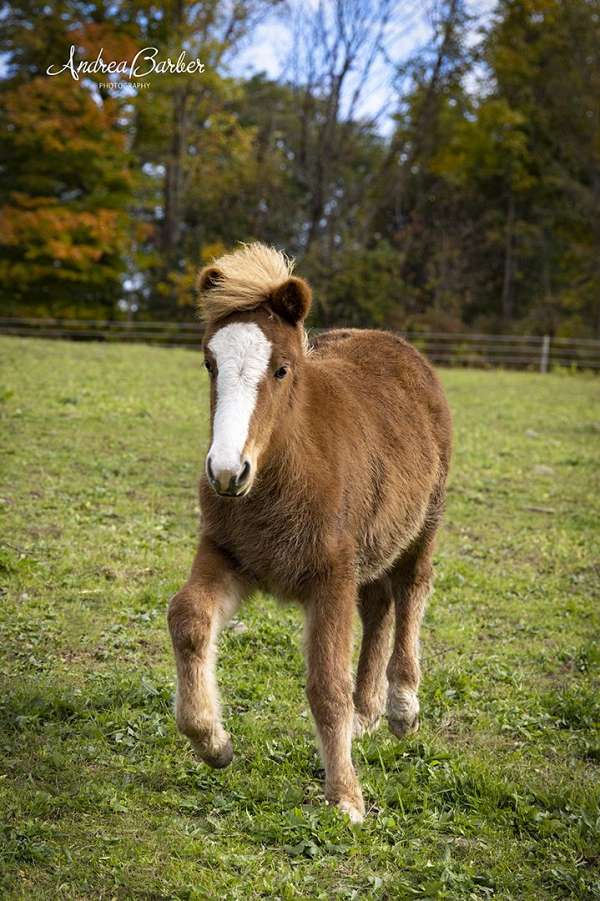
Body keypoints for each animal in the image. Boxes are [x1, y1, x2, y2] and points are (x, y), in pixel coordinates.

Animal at [166, 241, 452, 824]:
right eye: (209, 363)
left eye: (281, 369)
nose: (226, 472)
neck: (280, 474)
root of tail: (396, 344)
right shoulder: (227, 552)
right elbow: (188, 620)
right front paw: (212, 741)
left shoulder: (331, 576)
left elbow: (325, 684)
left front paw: (345, 796)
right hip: (373, 542)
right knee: (379, 605)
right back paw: (367, 714)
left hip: (423, 522)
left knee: (412, 589)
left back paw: (401, 708)